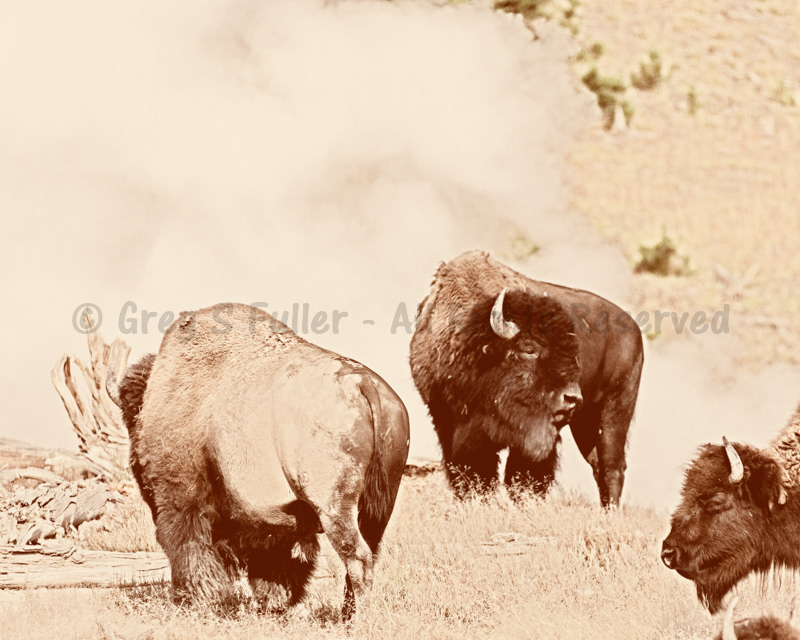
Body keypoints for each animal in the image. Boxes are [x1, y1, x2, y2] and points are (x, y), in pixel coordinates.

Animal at [107, 303, 410, 619]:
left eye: (132, 418)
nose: (137, 463)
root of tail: (364, 384)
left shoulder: (184, 501)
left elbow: (190, 548)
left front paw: (199, 602)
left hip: (334, 506)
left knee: (357, 557)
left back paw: (356, 620)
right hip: (378, 509)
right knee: (368, 554)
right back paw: (347, 615)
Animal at [409, 250, 644, 507]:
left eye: (574, 352)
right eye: (529, 349)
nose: (572, 398)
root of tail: (635, 330)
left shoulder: (536, 434)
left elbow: (523, 473)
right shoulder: (446, 422)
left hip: (615, 409)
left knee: (613, 465)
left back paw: (611, 512)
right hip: (585, 422)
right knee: (597, 464)